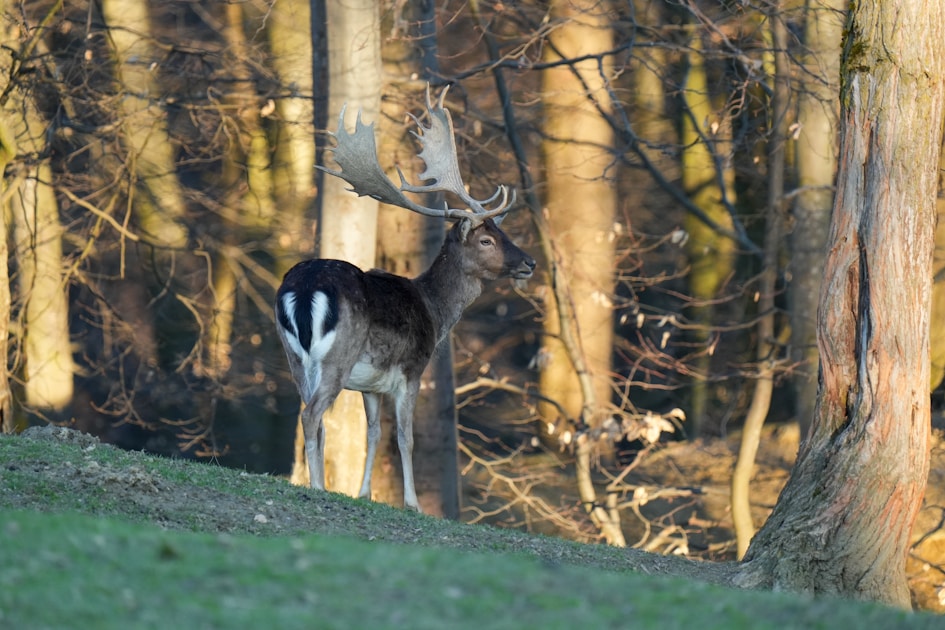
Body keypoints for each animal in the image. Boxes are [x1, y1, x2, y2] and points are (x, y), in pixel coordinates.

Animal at [275, 86, 536, 512]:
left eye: (502, 231)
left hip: (294, 357)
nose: (529, 262)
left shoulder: (371, 385)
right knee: (312, 415)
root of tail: (304, 288)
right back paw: (317, 486)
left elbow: (374, 434)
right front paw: (413, 503)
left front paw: (364, 493)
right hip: (338, 358)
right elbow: (405, 438)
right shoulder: (412, 369)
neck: (435, 311)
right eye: (486, 240)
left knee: (311, 416)